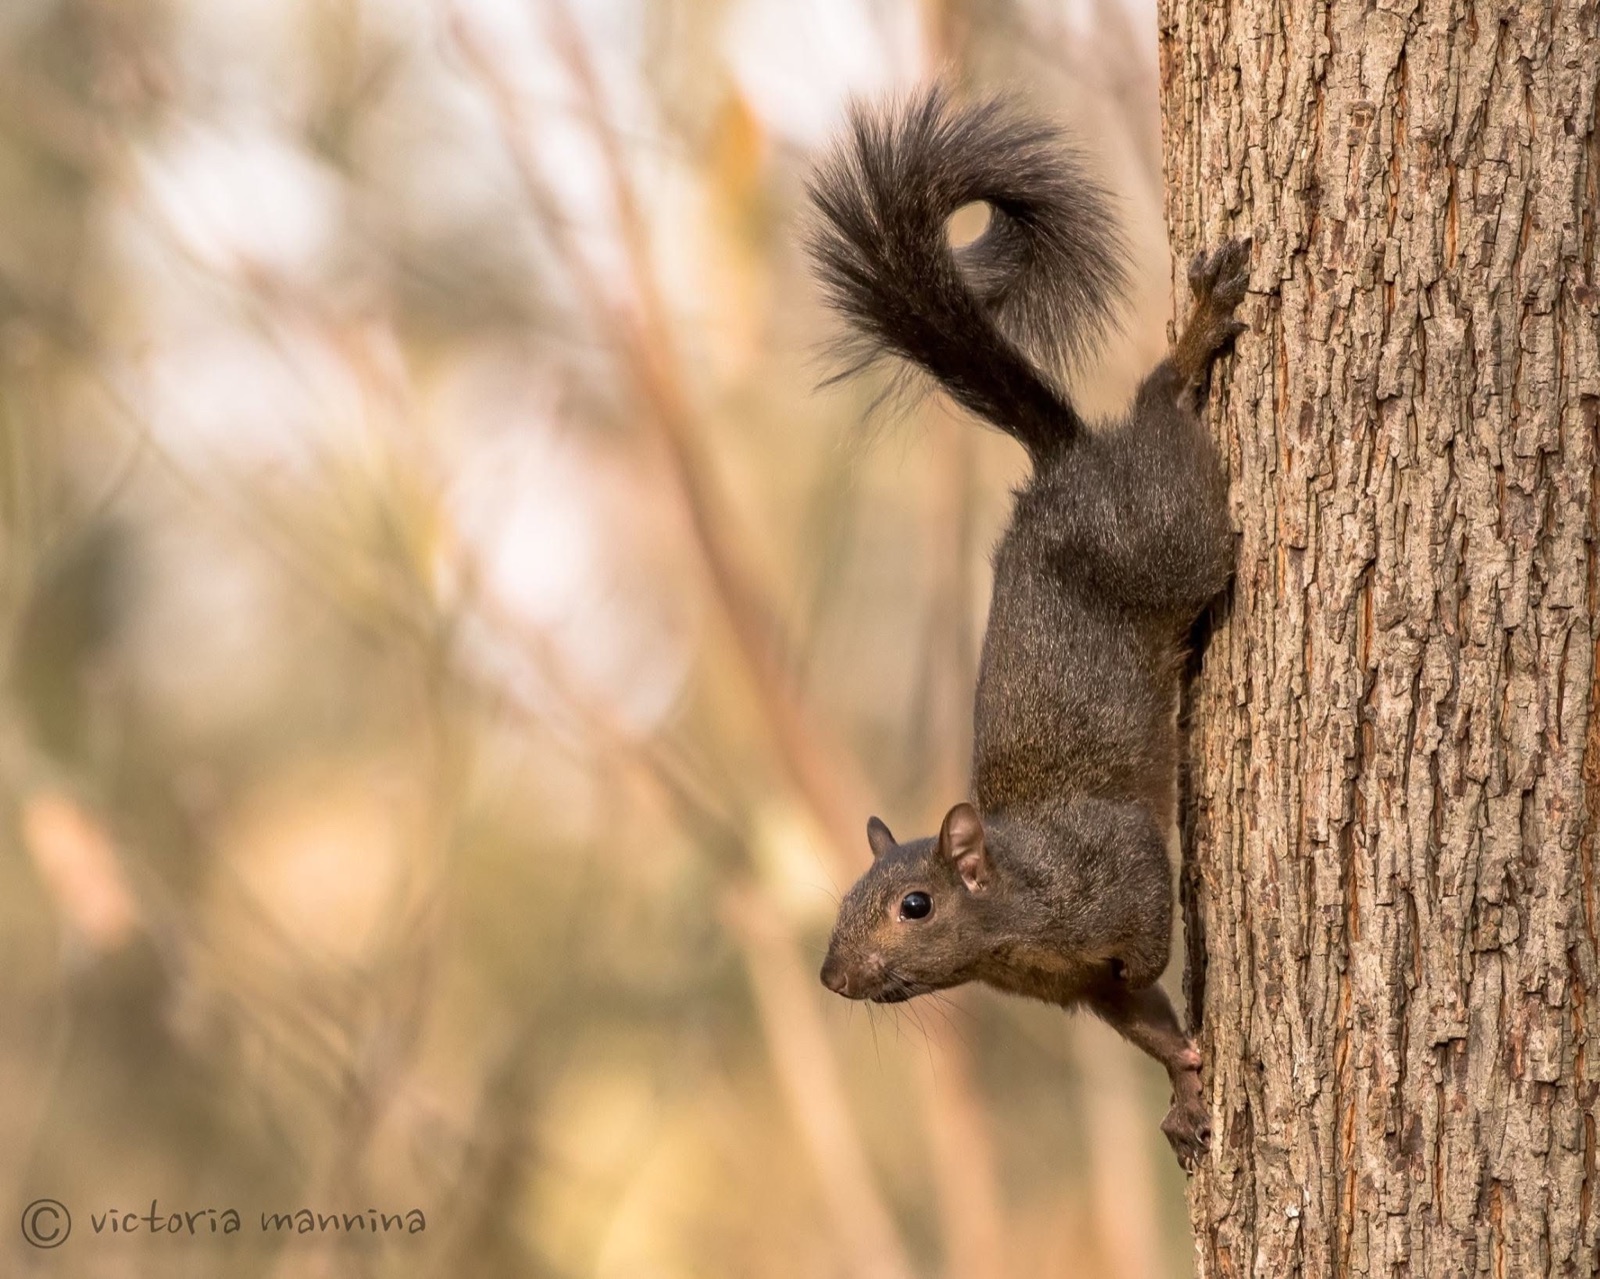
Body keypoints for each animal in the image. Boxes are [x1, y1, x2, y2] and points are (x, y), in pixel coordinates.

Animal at [805, 87, 1249, 1167]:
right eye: (847, 897)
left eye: (916, 904)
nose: (834, 976)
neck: (1016, 923)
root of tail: (1062, 464)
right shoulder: (1080, 988)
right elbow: (1143, 1019)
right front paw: (1184, 1086)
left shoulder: (1117, 872)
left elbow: (1147, 938)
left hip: (1170, 533)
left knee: (1158, 406)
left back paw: (1196, 335)